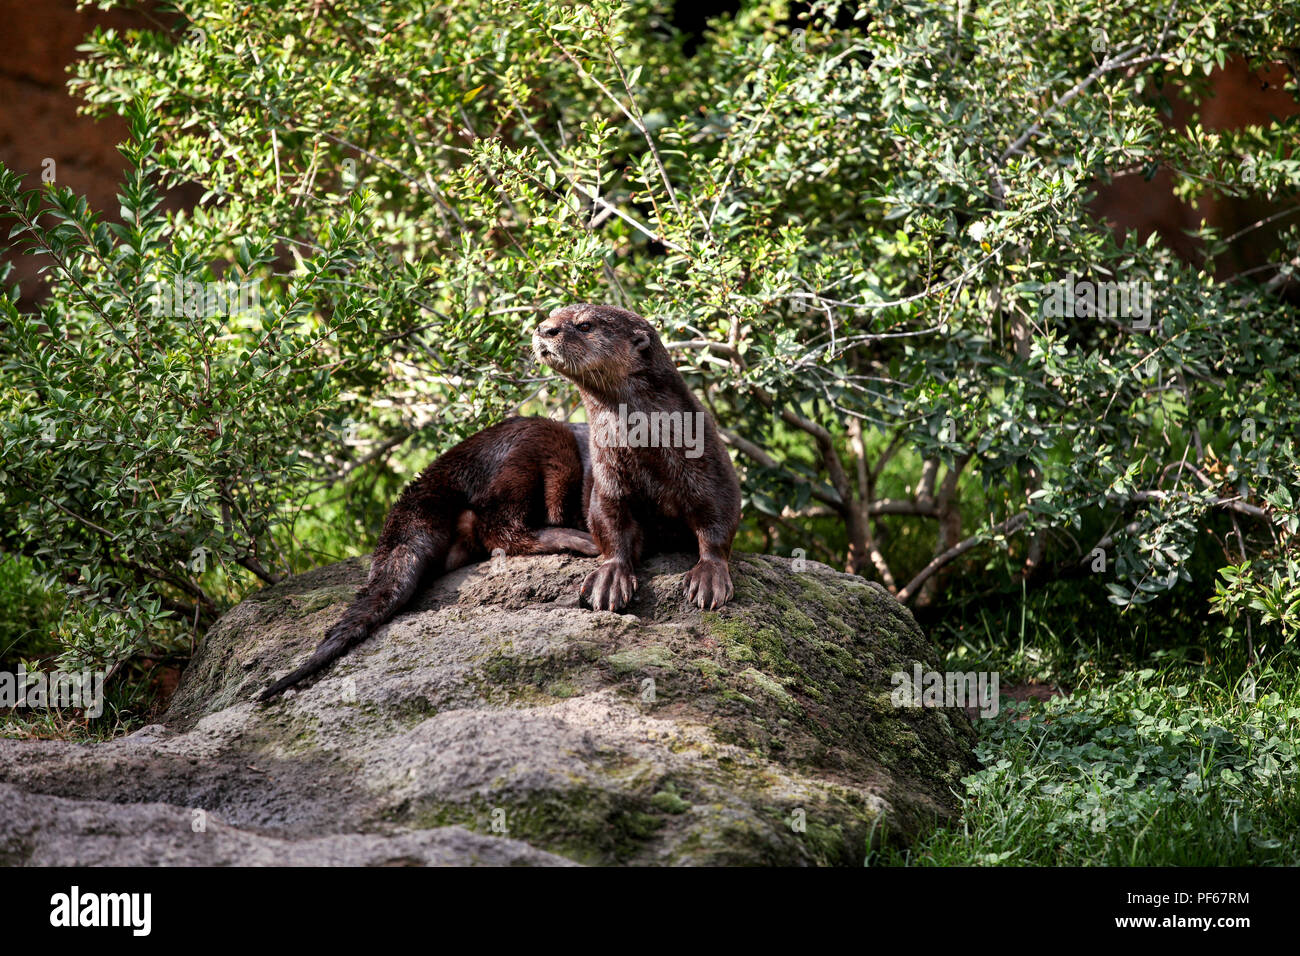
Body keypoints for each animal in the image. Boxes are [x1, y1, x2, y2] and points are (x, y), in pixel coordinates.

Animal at [533, 304, 743, 613]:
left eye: (585, 325)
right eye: (551, 315)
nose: (544, 329)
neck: (649, 449)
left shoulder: (712, 467)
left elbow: (718, 523)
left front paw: (709, 576)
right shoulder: (607, 480)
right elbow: (610, 526)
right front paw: (609, 578)